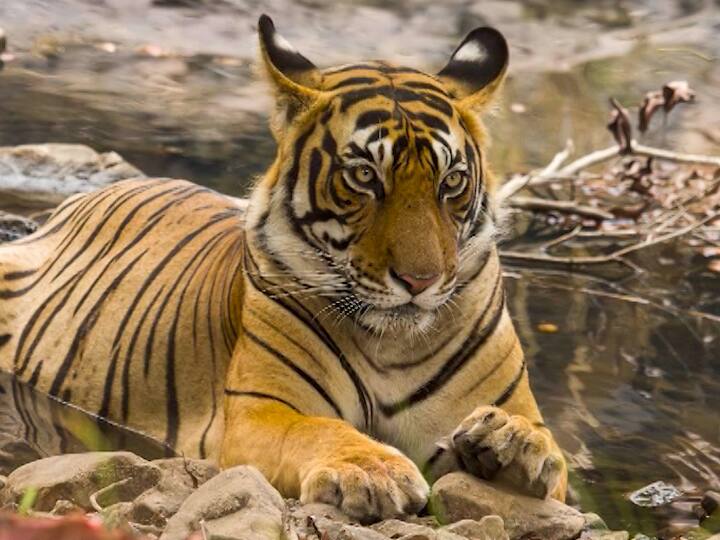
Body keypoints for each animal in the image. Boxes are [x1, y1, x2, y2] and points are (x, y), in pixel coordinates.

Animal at [0, 15, 566, 522]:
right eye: (364, 176)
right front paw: (372, 469)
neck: (392, 345)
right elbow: (315, 428)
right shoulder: (257, 411)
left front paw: (511, 441)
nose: (419, 282)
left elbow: (548, 451)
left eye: (451, 181)